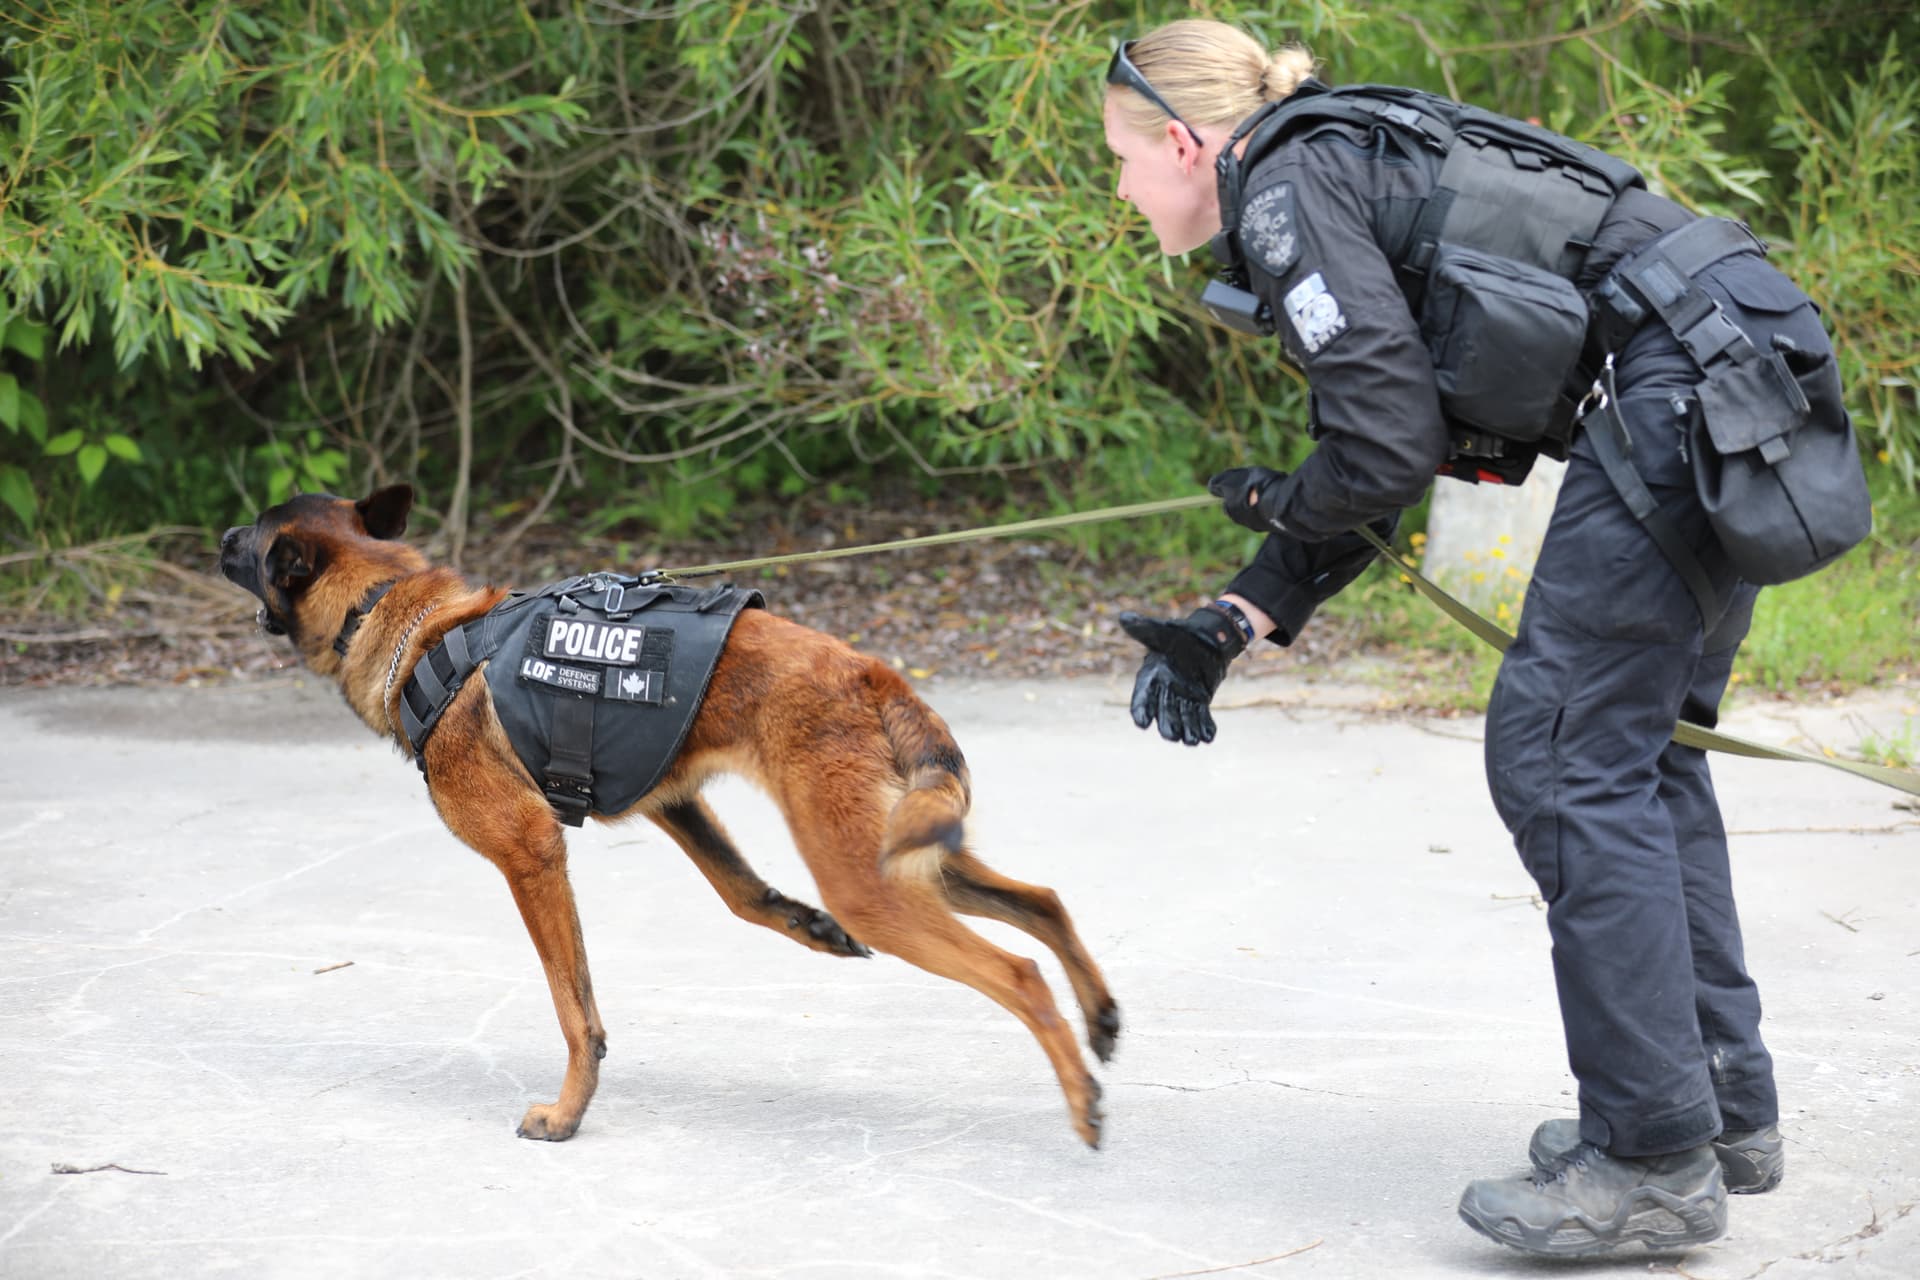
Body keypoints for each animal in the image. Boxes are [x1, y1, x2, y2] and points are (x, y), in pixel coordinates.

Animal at [217, 491, 1121, 1151]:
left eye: (250, 539)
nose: (217, 534)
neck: (395, 610)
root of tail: (869, 670)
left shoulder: (531, 855)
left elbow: (574, 1008)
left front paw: (568, 1114)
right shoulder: (677, 804)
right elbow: (743, 895)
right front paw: (808, 927)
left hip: (870, 880)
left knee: (1020, 972)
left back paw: (1083, 1096)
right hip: (902, 853)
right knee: (1043, 900)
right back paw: (1101, 1018)